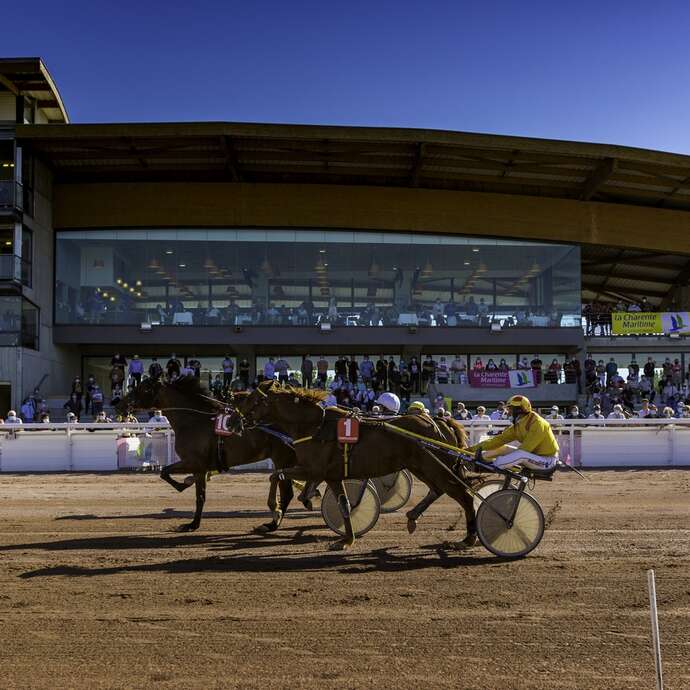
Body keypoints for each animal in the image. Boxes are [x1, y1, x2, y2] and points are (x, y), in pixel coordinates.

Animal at [117, 376, 298, 532]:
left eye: (144, 388)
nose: (121, 404)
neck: (192, 420)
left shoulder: (195, 464)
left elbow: (197, 494)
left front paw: (192, 523)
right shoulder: (195, 464)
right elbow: (165, 472)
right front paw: (186, 484)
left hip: (281, 459)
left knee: (287, 493)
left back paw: (272, 523)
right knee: (287, 492)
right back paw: (272, 523)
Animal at [234, 382, 476, 548]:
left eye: (252, 398)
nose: (236, 420)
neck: (316, 427)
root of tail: (439, 422)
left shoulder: (314, 469)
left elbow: (275, 475)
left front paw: (275, 509)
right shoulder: (330, 475)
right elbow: (344, 504)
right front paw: (347, 539)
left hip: (435, 467)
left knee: (465, 496)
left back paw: (468, 538)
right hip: (423, 467)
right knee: (437, 490)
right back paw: (413, 517)